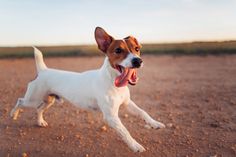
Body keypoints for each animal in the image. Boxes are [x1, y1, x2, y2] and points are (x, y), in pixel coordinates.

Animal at [10, 27, 164, 152]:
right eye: (118, 50)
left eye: (137, 49)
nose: (138, 61)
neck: (113, 81)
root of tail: (43, 70)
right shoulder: (111, 116)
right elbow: (125, 131)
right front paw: (135, 145)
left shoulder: (127, 104)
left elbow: (143, 112)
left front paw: (155, 123)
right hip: (32, 99)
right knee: (20, 101)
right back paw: (13, 114)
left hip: (49, 100)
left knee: (39, 109)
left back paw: (40, 122)